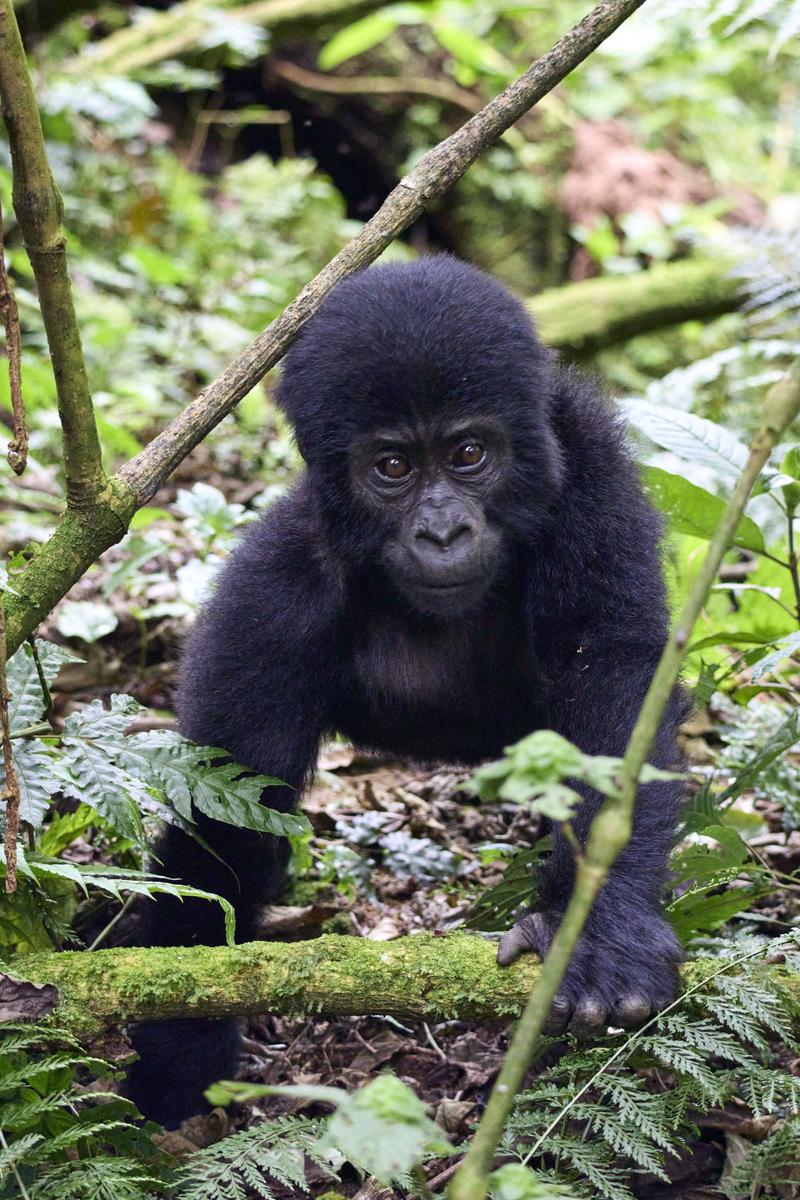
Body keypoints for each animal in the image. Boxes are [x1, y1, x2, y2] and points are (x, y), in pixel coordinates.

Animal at [128, 253, 686, 1123]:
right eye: (392, 467)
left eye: (468, 455)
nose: (443, 530)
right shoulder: (274, 594)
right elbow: (228, 817)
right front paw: (179, 1036)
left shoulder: (590, 475)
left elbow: (614, 682)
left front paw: (600, 929)